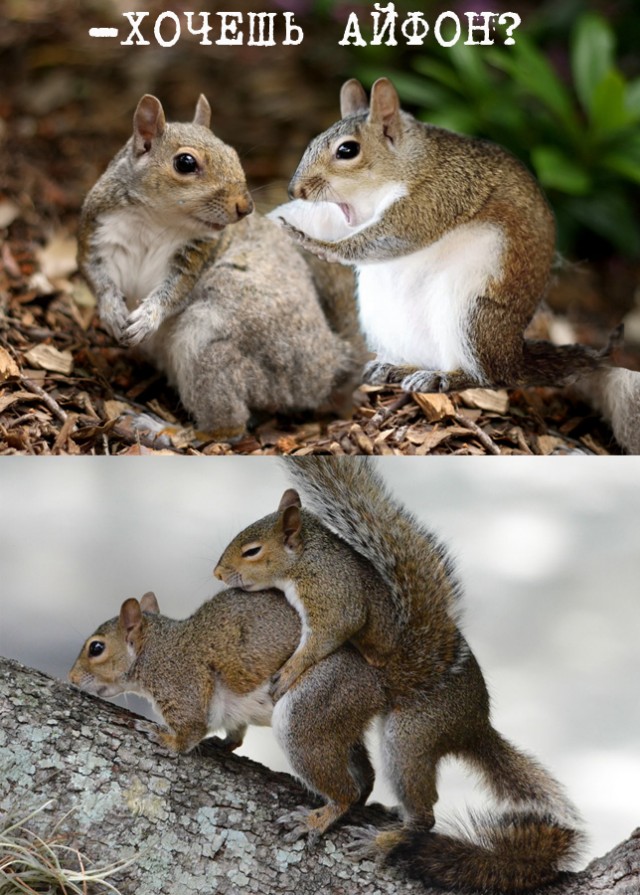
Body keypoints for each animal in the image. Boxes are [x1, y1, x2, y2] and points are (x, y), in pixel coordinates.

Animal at [69, 588, 386, 835]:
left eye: (96, 648)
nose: (71, 678)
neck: (157, 650)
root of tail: (380, 686)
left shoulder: (182, 683)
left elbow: (190, 731)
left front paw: (162, 736)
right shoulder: (230, 713)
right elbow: (235, 735)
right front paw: (222, 743)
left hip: (310, 710)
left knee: (345, 790)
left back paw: (317, 819)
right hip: (336, 719)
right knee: (365, 773)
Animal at [77, 94, 364, 441]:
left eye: (233, 154)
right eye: (185, 163)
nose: (246, 207)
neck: (155, 220)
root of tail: (332, 364)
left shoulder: (196, 256)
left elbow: (174, 292)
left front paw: (147, 318)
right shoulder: (98, 237)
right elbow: (97, 278)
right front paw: (111, 311)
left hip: (205, 342)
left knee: (229, 428)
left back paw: (167, 430)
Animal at [215, 457, 584, 893]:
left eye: (252, 551)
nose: (218, 573)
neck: (306, 559)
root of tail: (475, 725)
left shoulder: (333, 596)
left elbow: (328, 636)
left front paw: (290, 671)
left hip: (411, 736)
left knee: (423, 814)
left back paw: (379, 837)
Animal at [271, 77, 619, 398]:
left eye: (347, 150)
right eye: (313, 140)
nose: (294, 190)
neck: (408, 163)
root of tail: (513, 359)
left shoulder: (438, 196)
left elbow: (390, 237)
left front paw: (318, 245)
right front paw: (282, 219)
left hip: (472, 316)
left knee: (488, 378)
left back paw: (444, 377)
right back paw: (395, 367)